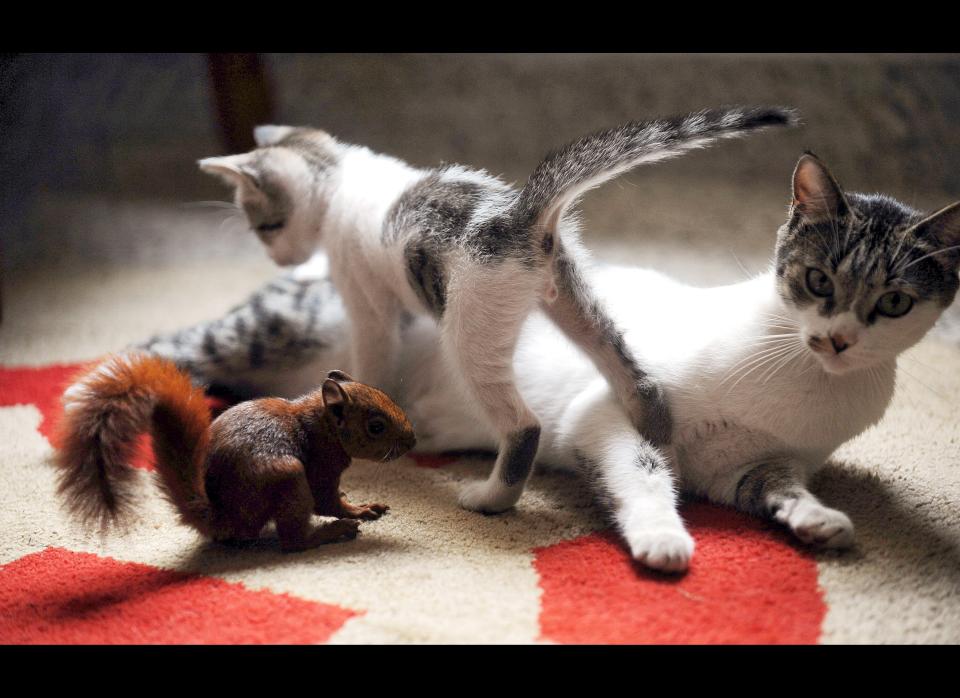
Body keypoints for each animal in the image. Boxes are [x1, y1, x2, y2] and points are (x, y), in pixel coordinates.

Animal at [53, 356, 416, 552]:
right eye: (376, 426)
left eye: (386, 394)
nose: (412, 441)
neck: (321, 424)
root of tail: (223, 519)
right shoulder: (321, 466)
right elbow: (328, 501)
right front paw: (360, 510)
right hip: (288, 479)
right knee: (292, 542)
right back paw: (330, 533)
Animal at [135, 150, 960, 568]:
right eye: (819, 282)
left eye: (893, 303)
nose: (838, 340)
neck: (801, 384)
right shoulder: (606, 414)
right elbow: (643, 477)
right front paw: (663, 539)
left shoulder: (749, 468)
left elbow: (781, 489)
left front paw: (819, 521)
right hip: (268, 331)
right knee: (165, 348)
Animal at [195, 107, 796, 512]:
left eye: (265, 225)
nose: (278, 258)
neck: (342, 176)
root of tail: (520, 214)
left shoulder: (366, 298)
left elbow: (372, 358)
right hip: (574, 298)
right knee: (636, 377)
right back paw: (657, 440)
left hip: (469, 330)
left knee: (523, 426)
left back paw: (491, 499)